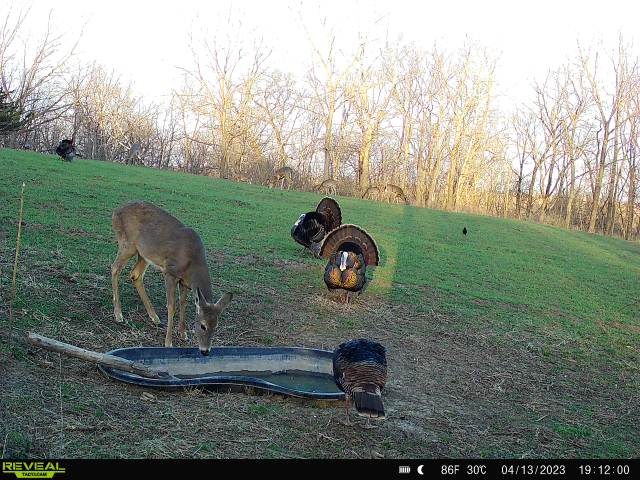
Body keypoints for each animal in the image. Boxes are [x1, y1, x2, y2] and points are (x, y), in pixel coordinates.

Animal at [111, 201, 233, 355]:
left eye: (216, 326)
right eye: (203, 325)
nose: (205, 351)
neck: (193, 262)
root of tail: (115, 212)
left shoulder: (184, 282)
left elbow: (183, 303)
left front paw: (183, 334)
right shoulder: (170, 272)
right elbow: (171, 306)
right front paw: (168, 342)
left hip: (144, 253)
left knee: (135, 274)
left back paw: (154, 317)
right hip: (127, 244)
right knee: (115, 268)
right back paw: (118, 314)